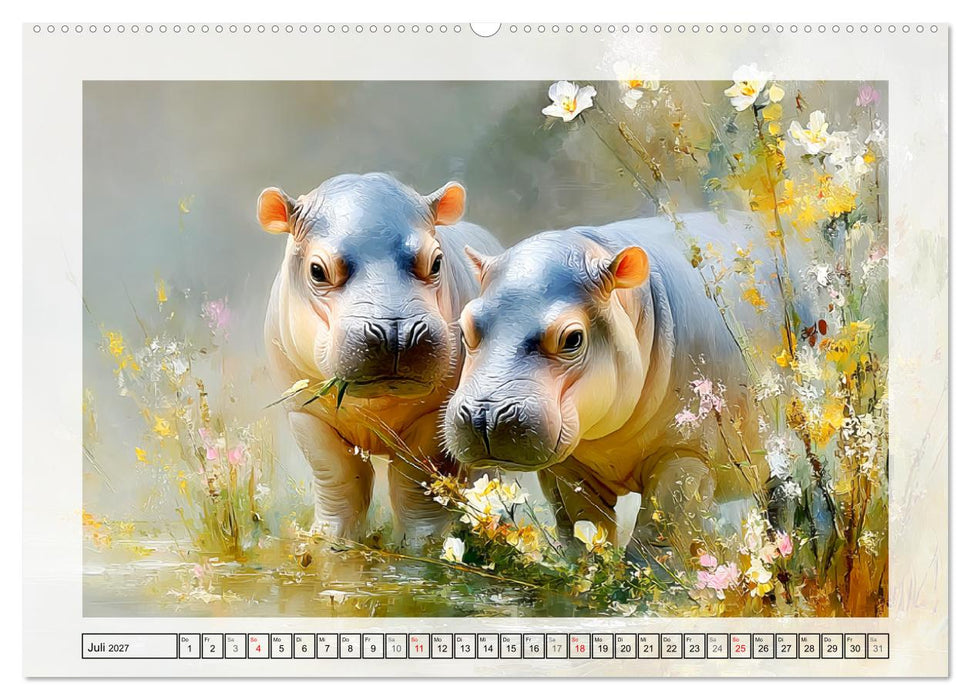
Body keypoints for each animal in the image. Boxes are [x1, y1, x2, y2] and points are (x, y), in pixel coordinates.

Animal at [259, 173, 503, 542]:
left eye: (437, 261)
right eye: (317, 270)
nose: (396, 332)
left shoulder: (434, 415)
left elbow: (417, 483)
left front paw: (422, 545)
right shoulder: (306, 415)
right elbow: (340, 477)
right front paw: (328, 540)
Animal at [444, 212, 773, 554]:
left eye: (572, 338)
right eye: (465, 325)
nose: (485, 415)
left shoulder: (686, 453)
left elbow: (657, 536)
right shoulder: (568, 469)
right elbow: (584, 529)